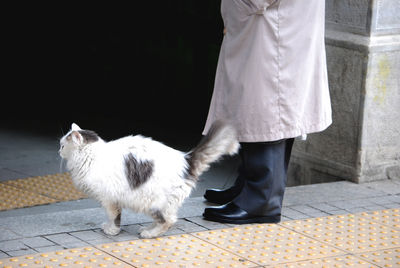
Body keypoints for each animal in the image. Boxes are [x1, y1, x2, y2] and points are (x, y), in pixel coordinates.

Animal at [59, 120, 238, 238]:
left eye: (62, 145)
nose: (59, 151)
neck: (93, 157)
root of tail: (186, 160)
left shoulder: (108, 199)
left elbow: (113, 217)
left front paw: (111, 231)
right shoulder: (114, 198)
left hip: (152, 202)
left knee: (168, 220)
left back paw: (149, 233)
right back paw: (147, 228)